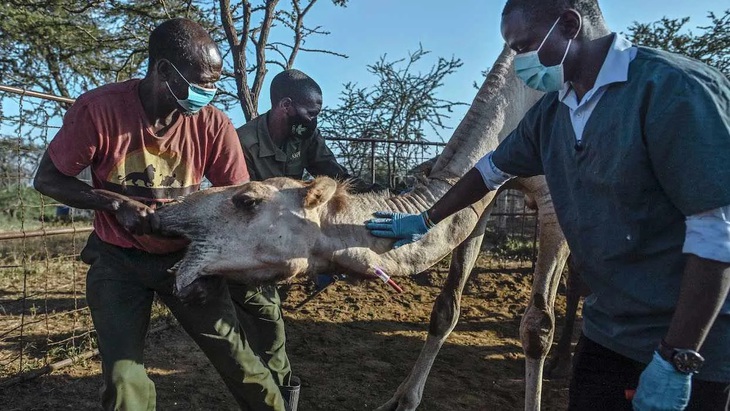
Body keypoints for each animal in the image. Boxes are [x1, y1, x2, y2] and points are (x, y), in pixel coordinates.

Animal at [156, 43, 572, 410]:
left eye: (247, 200)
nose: (170, 211)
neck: (515, 105)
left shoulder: (554, 200)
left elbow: (537, 327)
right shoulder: (484, 199)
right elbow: (445, 308)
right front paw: (402, 401)